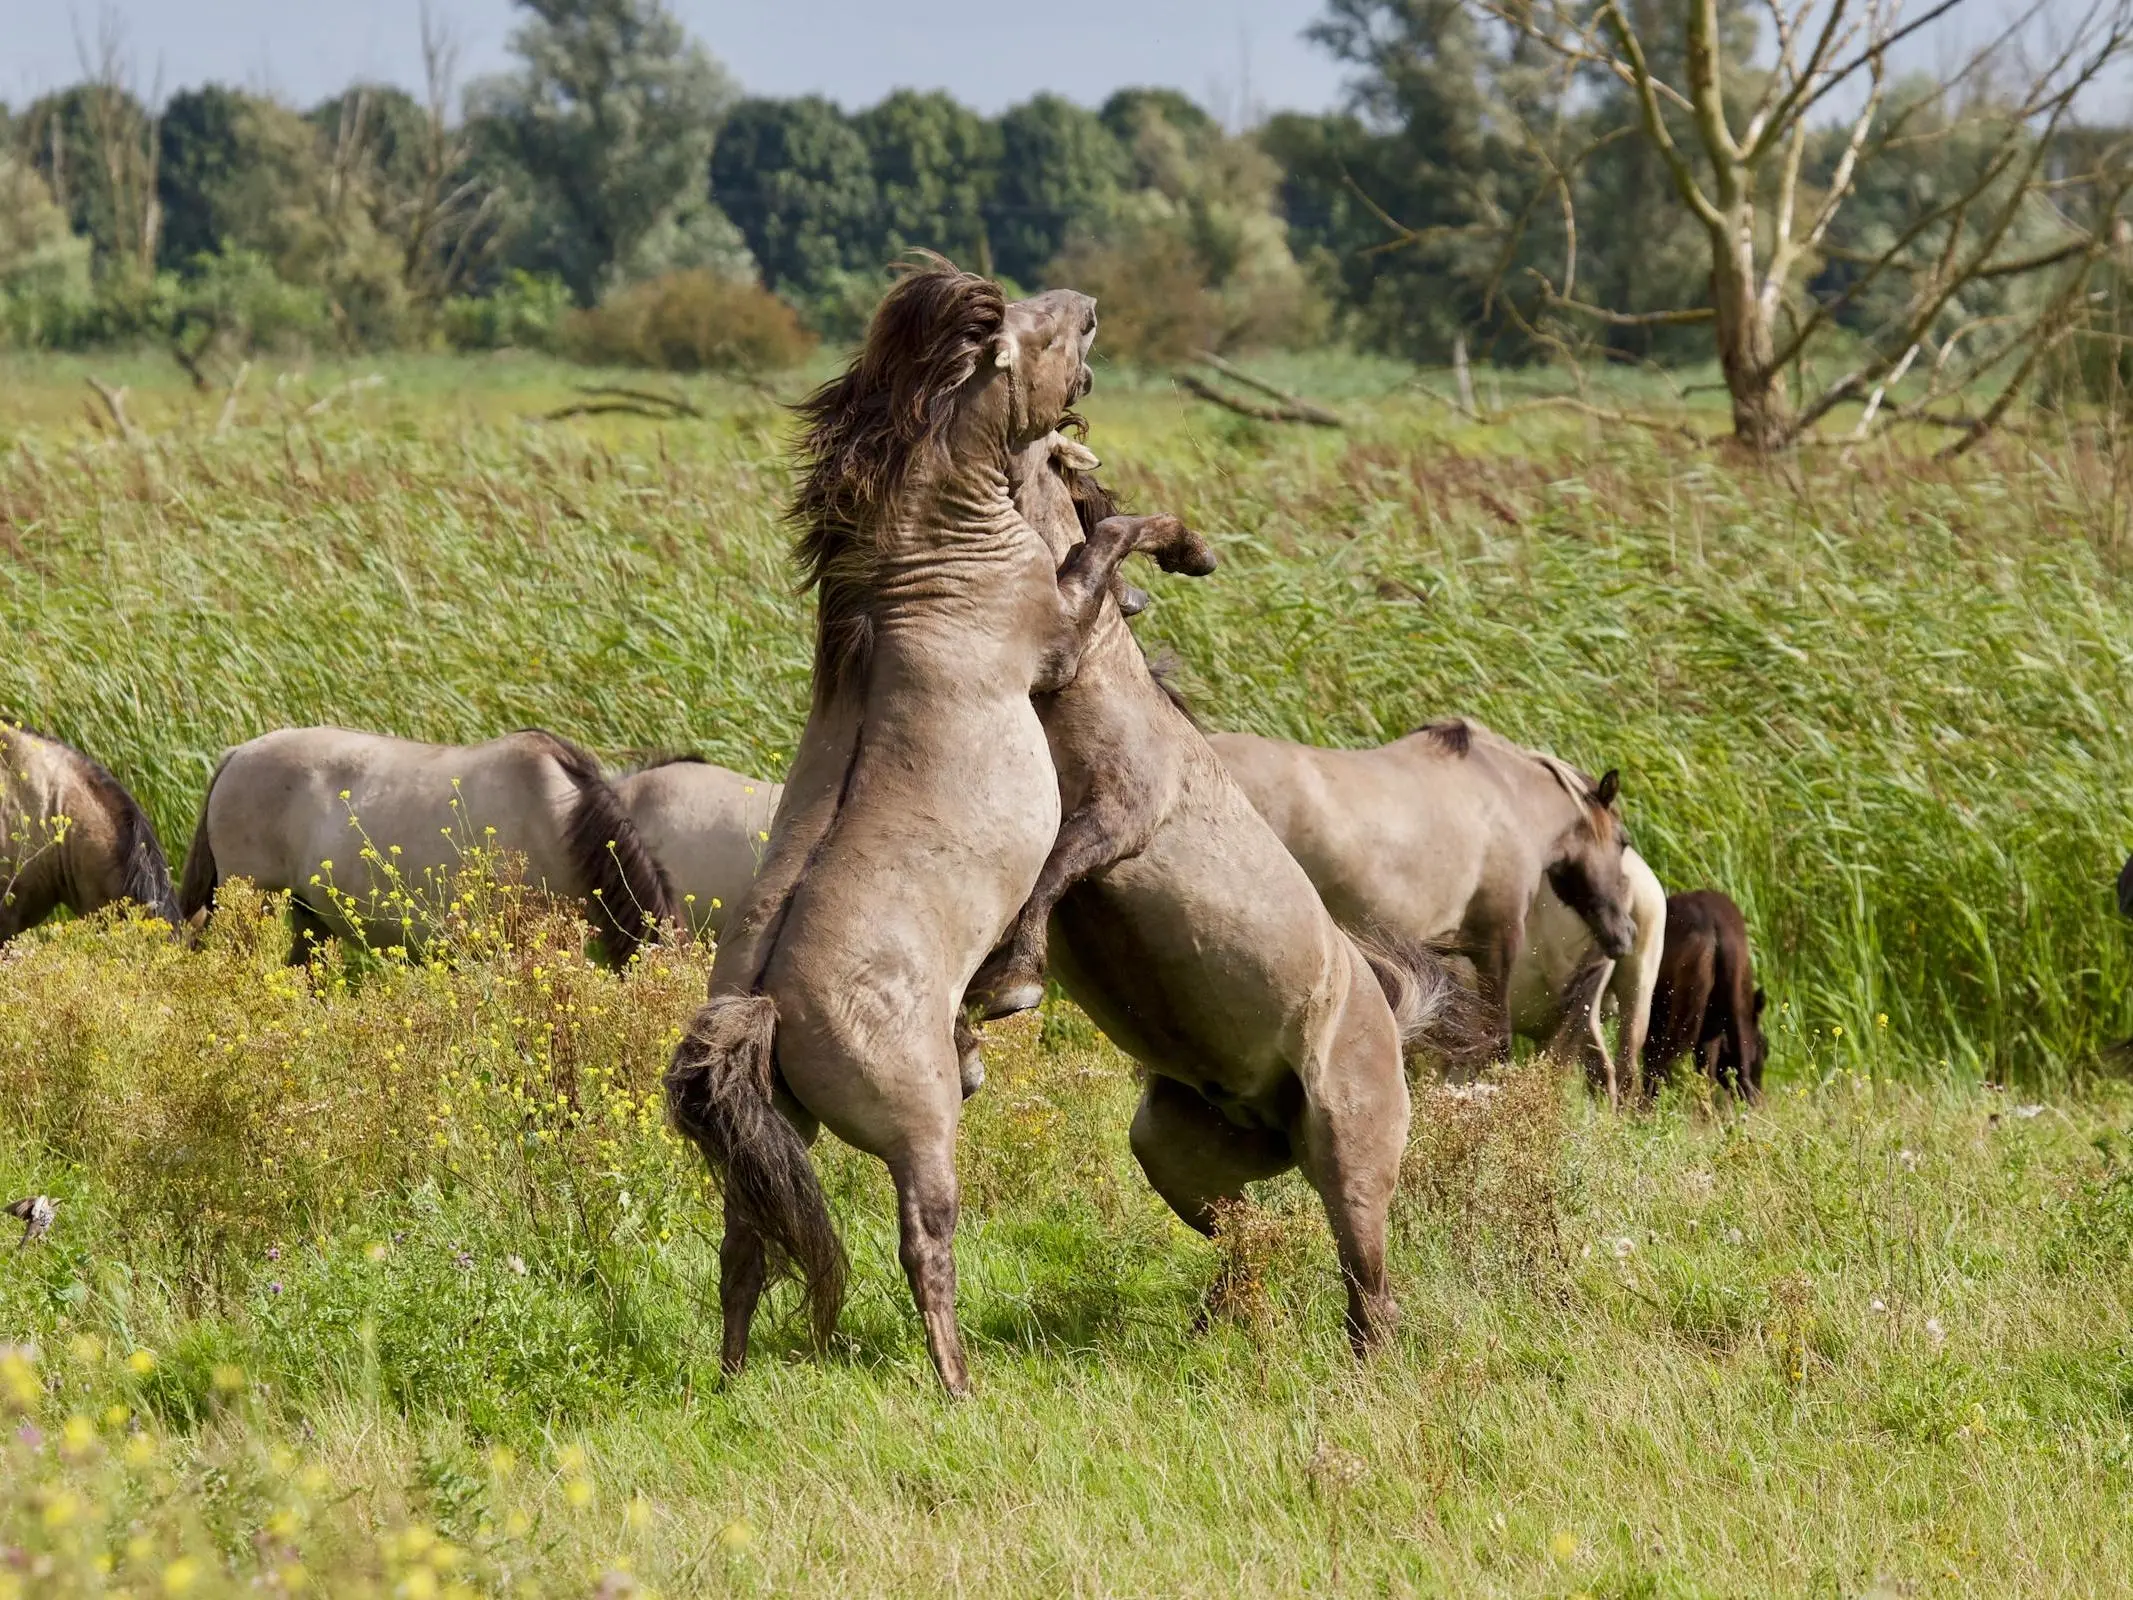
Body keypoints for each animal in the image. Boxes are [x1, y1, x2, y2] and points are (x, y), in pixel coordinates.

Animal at [661, 257, 1220, 1399]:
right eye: (1033, 330)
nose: (1089, 307)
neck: (925, 570)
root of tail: (767, 1005)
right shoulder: (1056, 637)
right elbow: (1112, 537)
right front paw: (1183, 550)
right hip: (922, 1135)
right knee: (925, 1243)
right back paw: (958, 1383)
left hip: (773, 1142)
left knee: (744, 1251)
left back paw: (733, 1381)